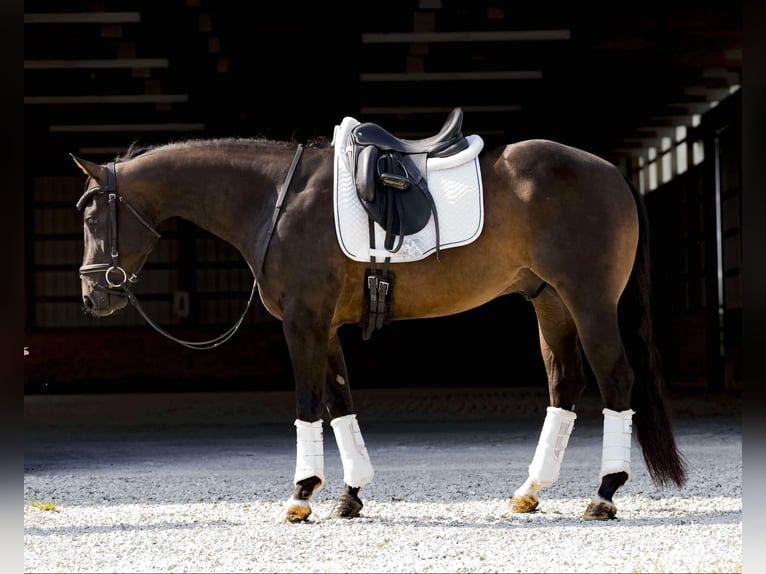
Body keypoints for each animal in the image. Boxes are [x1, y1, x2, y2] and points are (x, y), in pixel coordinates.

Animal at [72, 108, 687, 522]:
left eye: (93, 217)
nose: (93, 297)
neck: (276, 200)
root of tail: (611, 172)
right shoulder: (325, 326)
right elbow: (340, 403)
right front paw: (349, 494)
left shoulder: (303, 321)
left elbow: (308, 404)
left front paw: (301, 495)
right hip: (550, 302)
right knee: (566, 384)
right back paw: (531, 490)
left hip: (590, 302)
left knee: (616, 381)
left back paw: (604, 492)